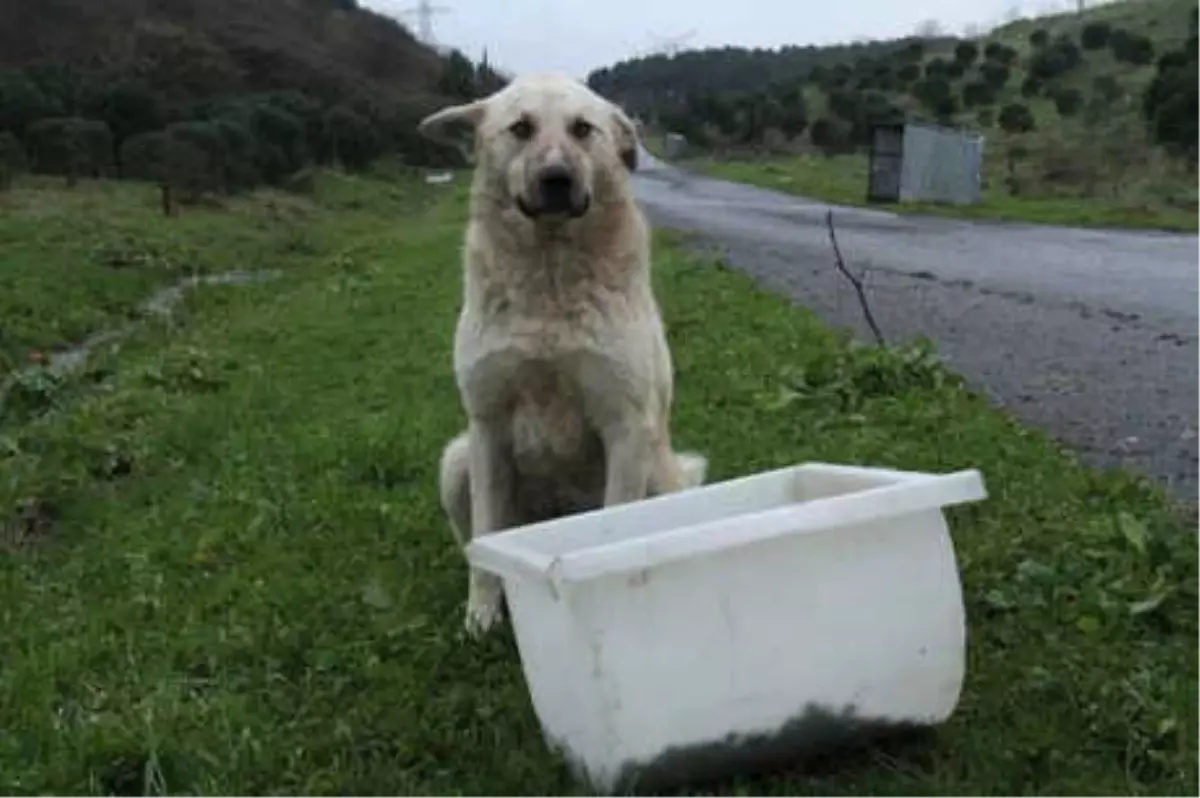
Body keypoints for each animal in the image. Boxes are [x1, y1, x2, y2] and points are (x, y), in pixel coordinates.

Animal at [420, 73, 705, 633]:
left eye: (582, 129)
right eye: (520, 128)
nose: (556, 179)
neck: (549, 273)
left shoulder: (625, 424)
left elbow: (618, 527)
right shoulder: (486, 426)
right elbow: (486, 536)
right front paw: (482, 612)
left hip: (656, 474)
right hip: (456, 461)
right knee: (475, 541)